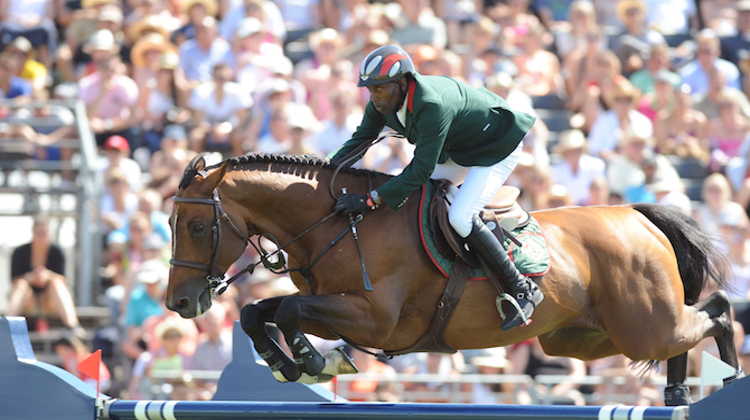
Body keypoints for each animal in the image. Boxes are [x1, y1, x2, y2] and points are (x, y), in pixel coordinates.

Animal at [169, 153, 748, 406]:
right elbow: (258, 313)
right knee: (687, 330)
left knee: (716, 311)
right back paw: (677, 394)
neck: (338, 224)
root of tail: (635, 215)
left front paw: (313, 361)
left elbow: (286, 311)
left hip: (641, 326)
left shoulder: (374, 320)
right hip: (582, 339)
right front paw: (290, 363)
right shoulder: (334, 308)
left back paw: (728, 380)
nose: (180, 304)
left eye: (197, 226)